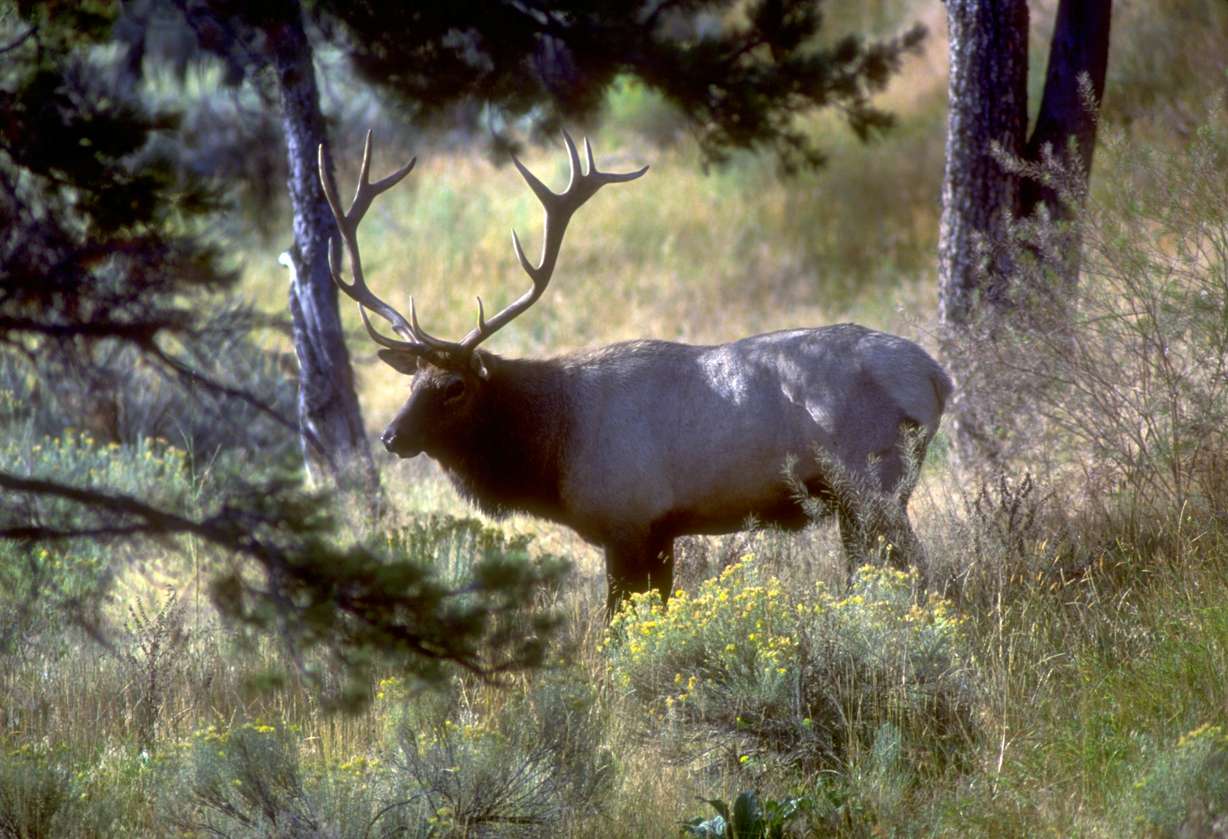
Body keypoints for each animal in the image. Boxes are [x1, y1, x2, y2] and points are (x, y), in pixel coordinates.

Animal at [318, 131, 952, 617]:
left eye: (454, 387)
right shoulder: (662, 531)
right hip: (860, 502)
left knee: (919, 570)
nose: (391, 436)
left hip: (874, 485)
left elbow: (618, 624)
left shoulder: (625, 520)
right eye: (411, 381)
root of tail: (937, 377)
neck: (554, 448)